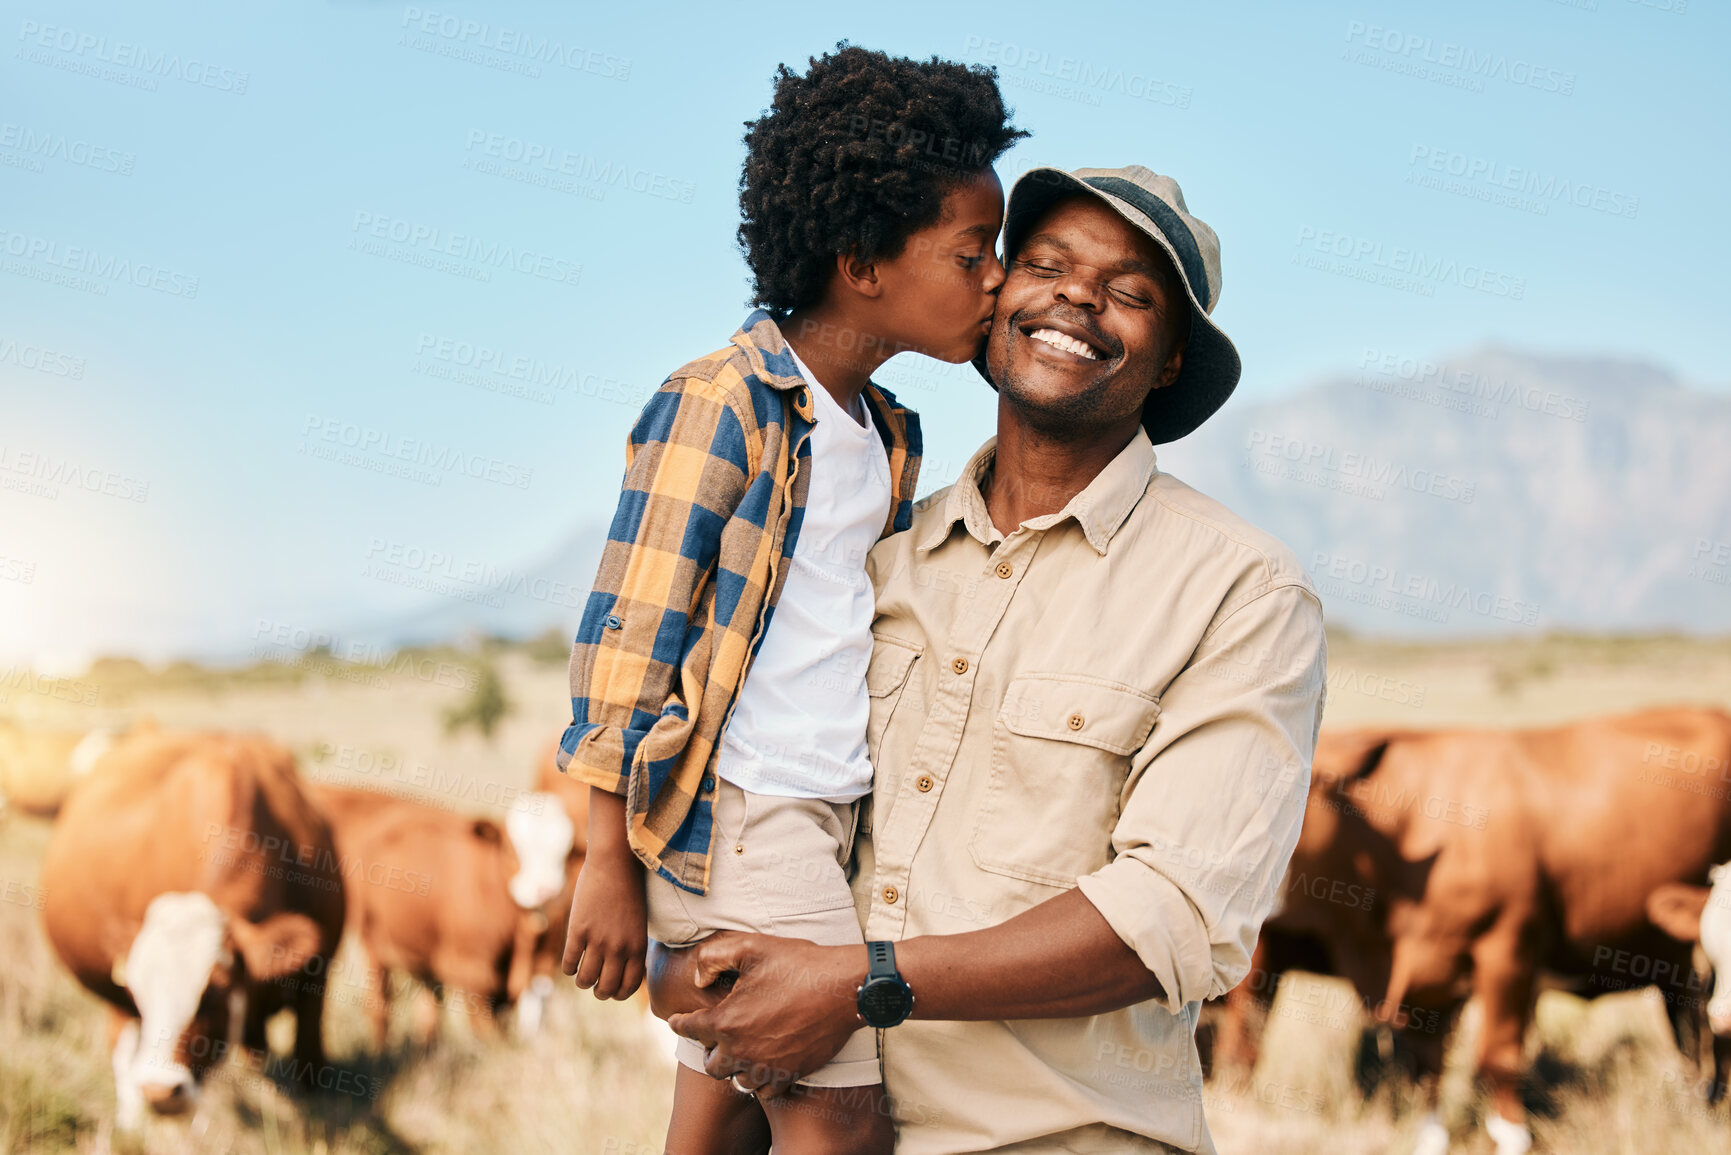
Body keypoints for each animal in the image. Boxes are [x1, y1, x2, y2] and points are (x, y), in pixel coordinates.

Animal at [1225, 709, 1731, 1155]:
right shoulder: (1424, 981)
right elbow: (1425, 1067)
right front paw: (1430, 1141)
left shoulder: (1506, 951)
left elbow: (1497, 1059)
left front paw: (1512, 1140)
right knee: (1690, 1024)